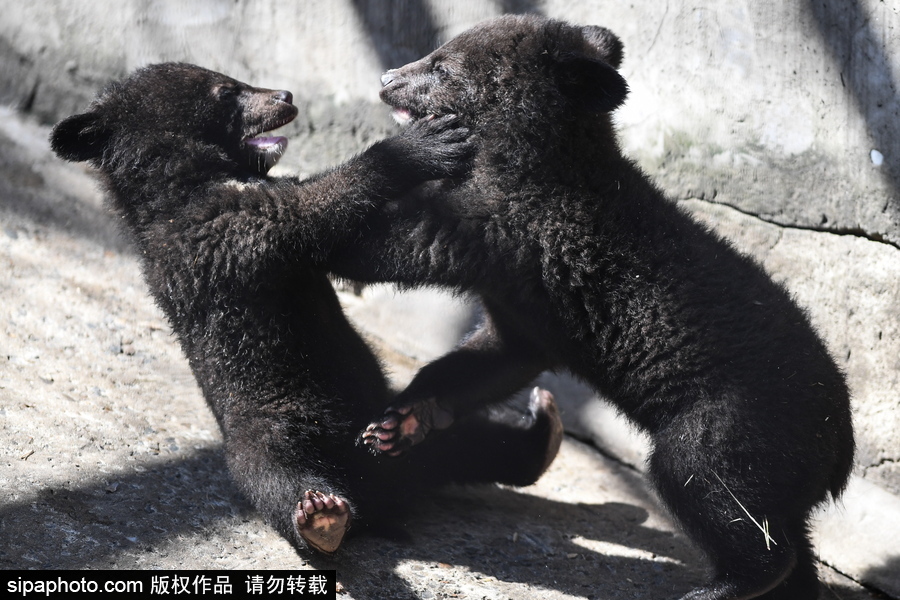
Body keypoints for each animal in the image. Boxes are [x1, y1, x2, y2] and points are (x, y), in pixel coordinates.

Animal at [49, 62, 564, 557]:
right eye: (226, 91)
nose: (285, 95)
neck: (185, 184)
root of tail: (382, 496)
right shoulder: (215, 234)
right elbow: (307, 213)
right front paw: (422, 144)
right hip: (266, 425)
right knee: (270, 472)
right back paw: (319, 516)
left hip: (388, 419)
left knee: (467, 444)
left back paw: (543, 430)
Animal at [332, 15, 855, 600]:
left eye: (443, 66)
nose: (387, 77)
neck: (531, 160)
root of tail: (839, 446)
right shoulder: (525, 308)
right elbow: (491, 360)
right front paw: (402, 420)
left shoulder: (501, 225)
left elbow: (395, 240)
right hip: (779, 469)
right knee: (790, 536)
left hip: (733, 424)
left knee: (708, 485)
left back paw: (720, 584)